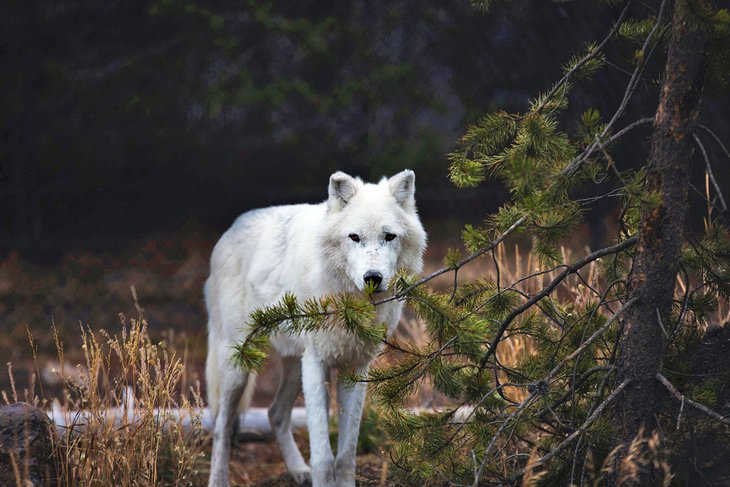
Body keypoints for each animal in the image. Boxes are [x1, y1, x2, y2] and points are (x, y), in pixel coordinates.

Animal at [203, 170, 426, 486]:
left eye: (389, 236)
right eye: (354, 237)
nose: (372, 277)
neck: (350, 305)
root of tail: (231, 229)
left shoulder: (355, 368)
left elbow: (345, 455)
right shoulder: (316, 362)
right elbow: (323, 456)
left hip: (294, 364)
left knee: (274, 414)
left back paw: (298, 470)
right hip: (239, 367)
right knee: (221, 427)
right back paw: (219, 479)